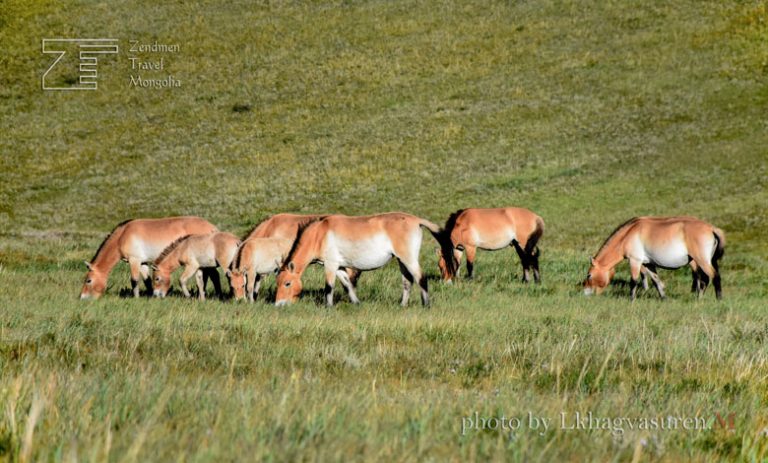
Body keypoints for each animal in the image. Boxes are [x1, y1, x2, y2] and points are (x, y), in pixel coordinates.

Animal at [80, 218, 218, 300]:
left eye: (88, 280)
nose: (82, 297)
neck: (123, 236)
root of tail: (212, 228)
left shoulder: (134, 260)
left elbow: (134, 280)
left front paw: (136, 298)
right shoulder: (143, 262)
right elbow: (146, 280)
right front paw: (151, 295)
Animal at [272, 214, 450, 308]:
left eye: (287, 283)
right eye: (278, 283)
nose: (278, 304)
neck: (319, 234)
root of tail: (416, 220)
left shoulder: (330, 265)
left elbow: (329, 287)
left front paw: (328, 307)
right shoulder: (339, 267)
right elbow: (347, 285)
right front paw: (356, 303)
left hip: (409, 259)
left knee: (421, 278)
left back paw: (426, 305)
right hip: (401, 260)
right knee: (407, 282)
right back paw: (402, 305)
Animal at [584, 218, 728, 300]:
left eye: (589, 275)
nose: (585, 292)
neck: (629, 234)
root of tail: (712, 228)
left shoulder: (635, 261)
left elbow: (633, 281)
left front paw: (631, 299)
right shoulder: (648, 264)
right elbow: (656, 281)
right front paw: (663, 297)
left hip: (702, 261)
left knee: (712, 277)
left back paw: (715, 299)